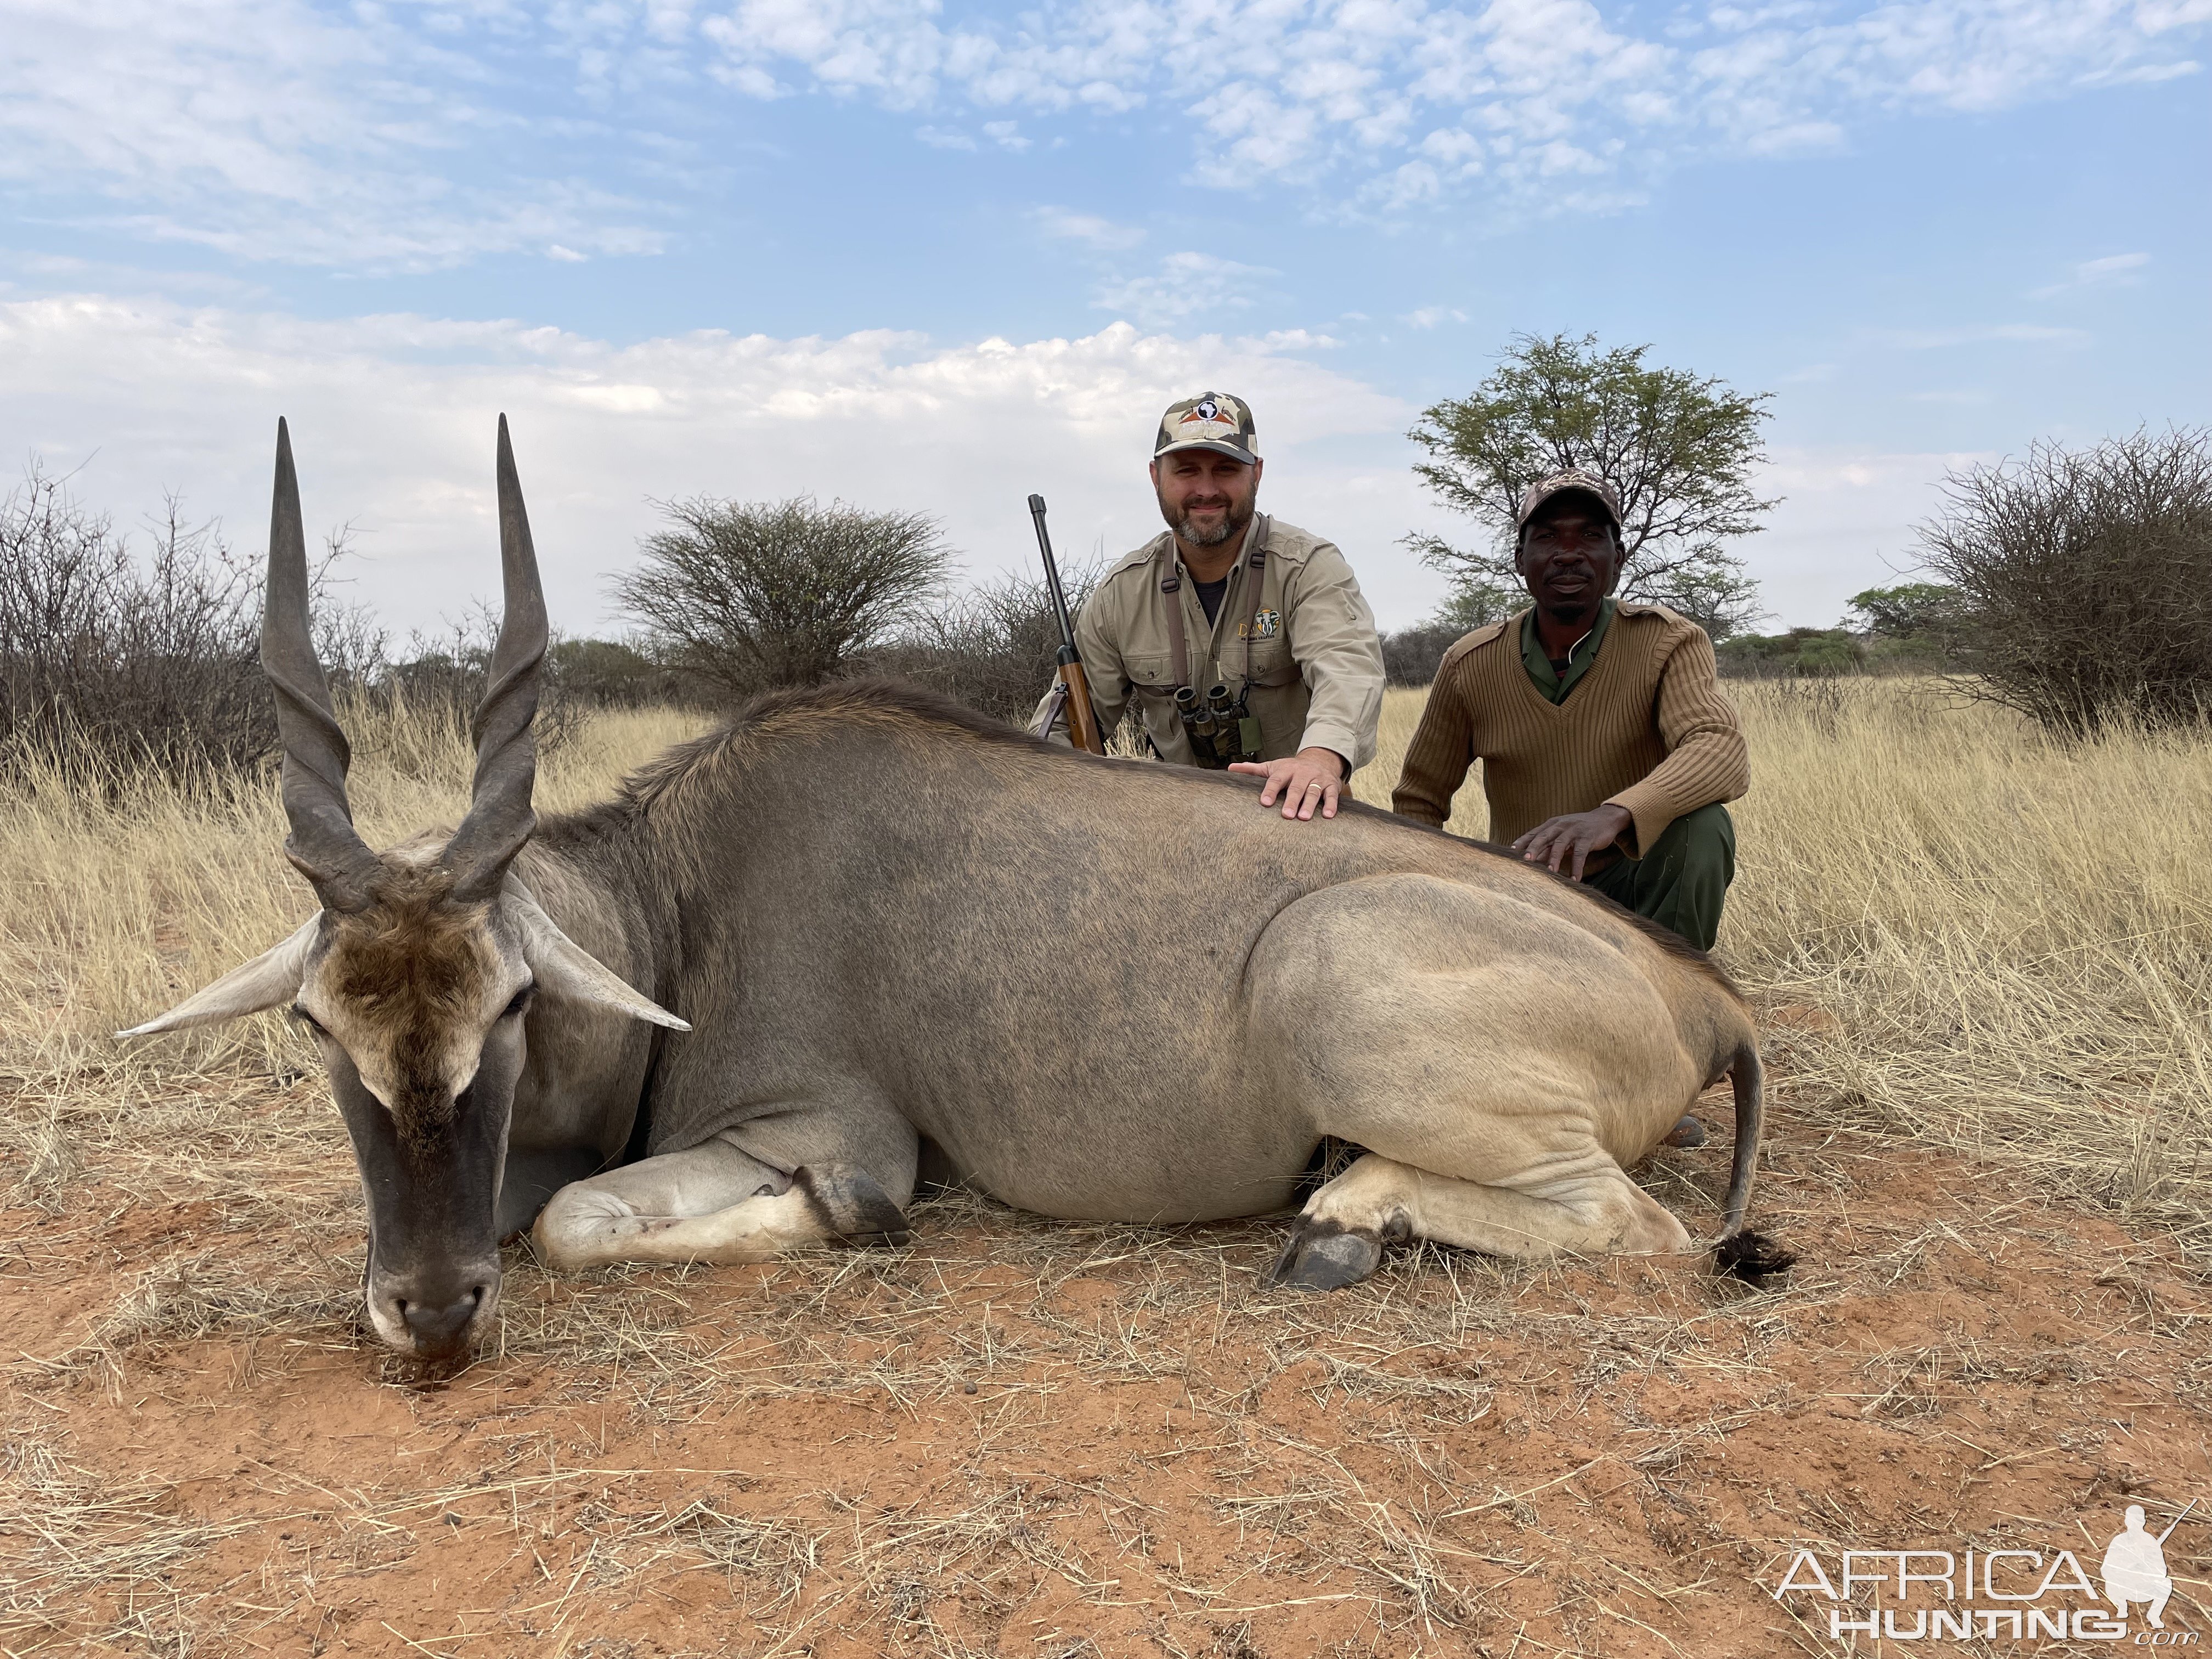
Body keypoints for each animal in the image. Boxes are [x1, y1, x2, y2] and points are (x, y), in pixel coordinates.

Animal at [121, 418, 1787, 1362]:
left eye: (517, 1001)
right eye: (319, 1027)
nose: (426, 1308)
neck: (678, 900)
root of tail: (1706, 1003)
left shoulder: (822, 1128)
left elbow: (590, 1223)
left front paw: (839, 1229)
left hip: (1337, 974)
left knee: (1633, 1227)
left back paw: (1346, 1218)